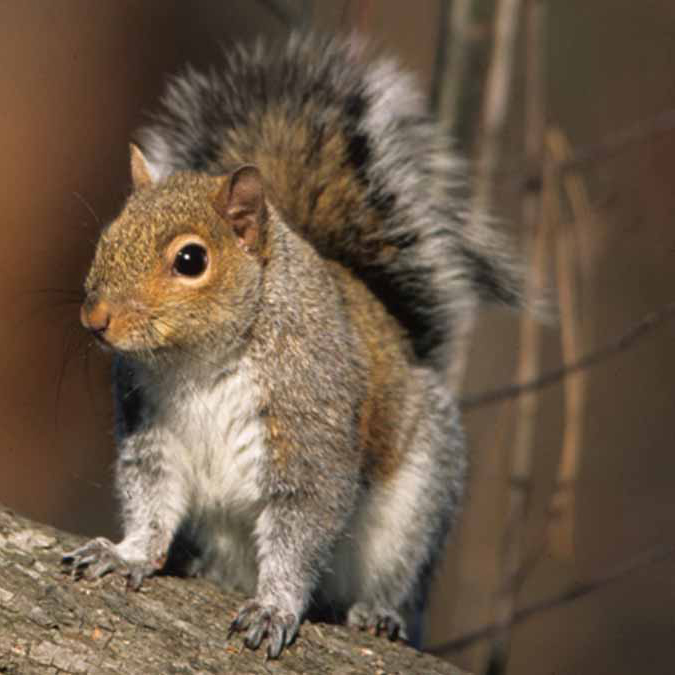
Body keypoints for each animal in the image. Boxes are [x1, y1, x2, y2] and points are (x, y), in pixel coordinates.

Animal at [62, 33, 523, 658]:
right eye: (108, 235)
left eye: (191, 259)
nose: (96, 318)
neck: (199, 363)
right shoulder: (151, 429)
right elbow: (152, 499)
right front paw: (126, 552)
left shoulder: (310, 424)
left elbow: (300, 525)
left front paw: (275, 607)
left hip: (418, 502)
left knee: (402, 578)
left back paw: (380, 613)